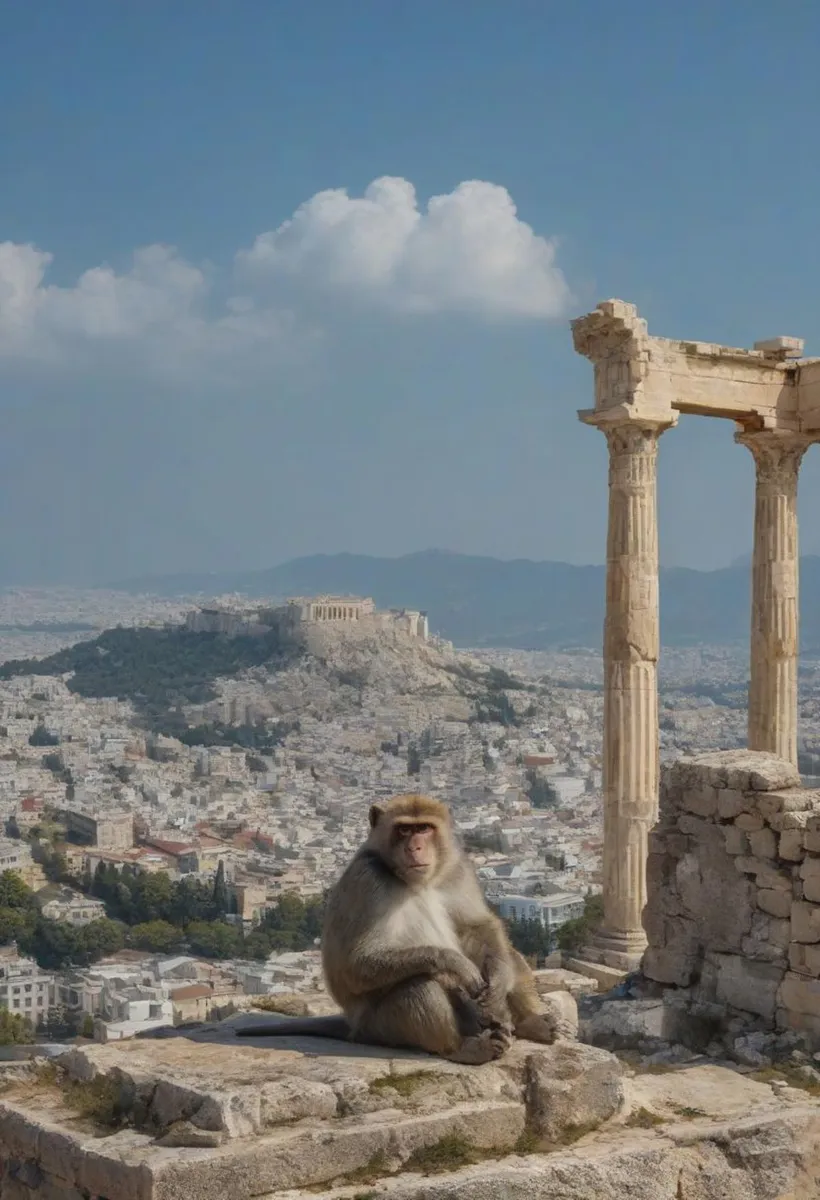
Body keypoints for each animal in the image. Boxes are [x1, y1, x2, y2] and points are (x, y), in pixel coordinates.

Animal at [237, 796, 566, 1060]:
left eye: (425, 829)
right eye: (404, 830)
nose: (415, 847)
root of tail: (353, 1027)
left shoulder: (457, 868)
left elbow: (476, 926)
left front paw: (497, 983)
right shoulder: (366, 880)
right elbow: (355, 963)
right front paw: (455, 963)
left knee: (508, 954)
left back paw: (530, 1024)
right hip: (380, 1028)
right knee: (418, 987)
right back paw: (462, 1049)